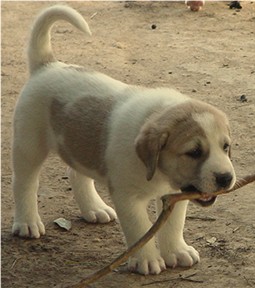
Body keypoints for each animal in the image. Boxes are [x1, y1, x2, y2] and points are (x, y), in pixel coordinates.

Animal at [11, 4, 235, 274]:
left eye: (225, 147)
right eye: (194, 152)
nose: (226, 178)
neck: (157, 173)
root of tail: (48, 65)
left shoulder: (175, 193)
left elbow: (173, 225)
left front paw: (177, 251)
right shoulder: (127, 197)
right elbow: (139, 229)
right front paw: (147, 260)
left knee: (76, 173)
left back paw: (94, 209)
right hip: (29, 145)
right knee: (25, 183)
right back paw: (27, 222)